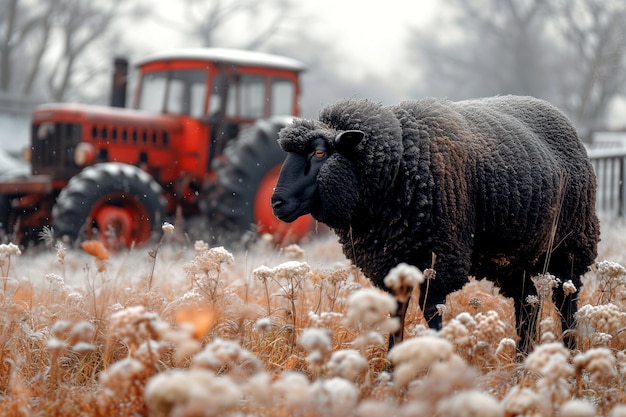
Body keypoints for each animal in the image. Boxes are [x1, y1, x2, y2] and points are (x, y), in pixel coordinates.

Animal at [270, 96, 596, 352]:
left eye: (320, 152)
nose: (276, 203)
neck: (397, 168)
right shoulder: (393, 262)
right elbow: (396, 316)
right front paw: (390, 372)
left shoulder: (439, 258)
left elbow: (431, 313)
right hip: (519, 255)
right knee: (528, 303)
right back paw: (522, 363)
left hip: (571, 244)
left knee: (566, 300)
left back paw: (569, 356)